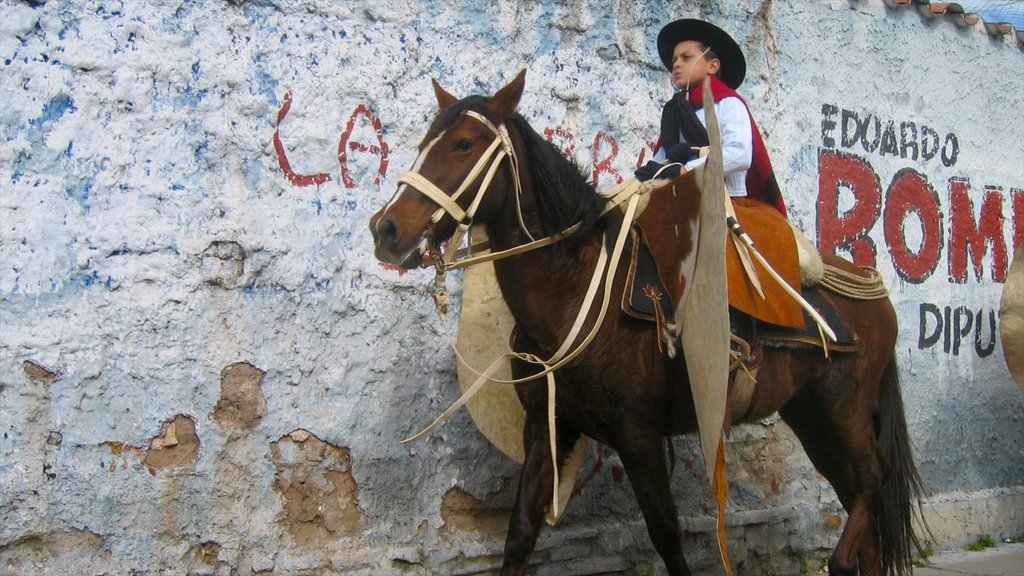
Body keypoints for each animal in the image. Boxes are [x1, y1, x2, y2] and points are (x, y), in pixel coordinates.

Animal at [370, 71, 929, 573]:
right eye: (424, 142)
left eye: (464, 144)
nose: (387, 230)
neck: (574, 288)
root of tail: (869, 286)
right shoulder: (546, 430)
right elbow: (520, 536)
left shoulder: (639, 436)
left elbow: (666, 537)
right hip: (812, 414)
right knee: (860, 497)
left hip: (843, 409)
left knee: (872, 479)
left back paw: (839, 559)